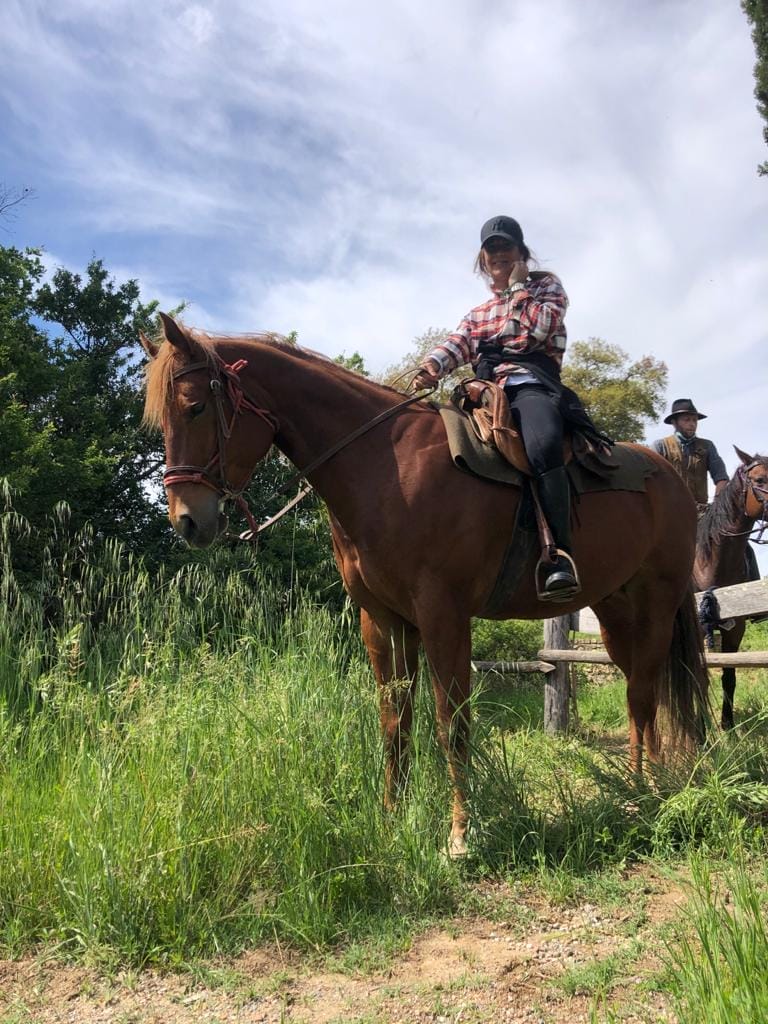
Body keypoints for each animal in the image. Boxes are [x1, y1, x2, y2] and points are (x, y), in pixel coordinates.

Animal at [143, 313, 708, 856]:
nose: (187, 521)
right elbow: (395, 722)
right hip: (616, 615)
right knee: (643, 693)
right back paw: (646, 783)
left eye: (195, 407)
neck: (385, 466)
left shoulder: (444, 615)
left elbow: (450, 722)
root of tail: (672, 480)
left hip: (656, 606)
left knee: (642, 696)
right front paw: (392, 817)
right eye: (161, 419)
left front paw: (460, 835)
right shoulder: (383, 621)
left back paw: (645, 792)